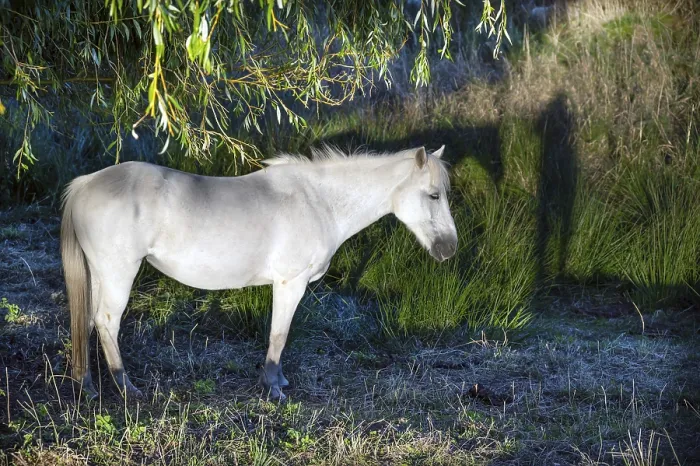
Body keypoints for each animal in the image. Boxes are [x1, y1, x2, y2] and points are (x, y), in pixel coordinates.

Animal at [61, 146, 458, 400]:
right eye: (433, 195)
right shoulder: (290, 283)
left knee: (89, 321)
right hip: (118, 274)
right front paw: (273, 386)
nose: (449, 248)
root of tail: (86, 183)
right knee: (107, 322)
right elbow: (279, 334)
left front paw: (279, 381)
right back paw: (126, 388)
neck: (320, 202)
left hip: (101, 275)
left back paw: (88, 386)